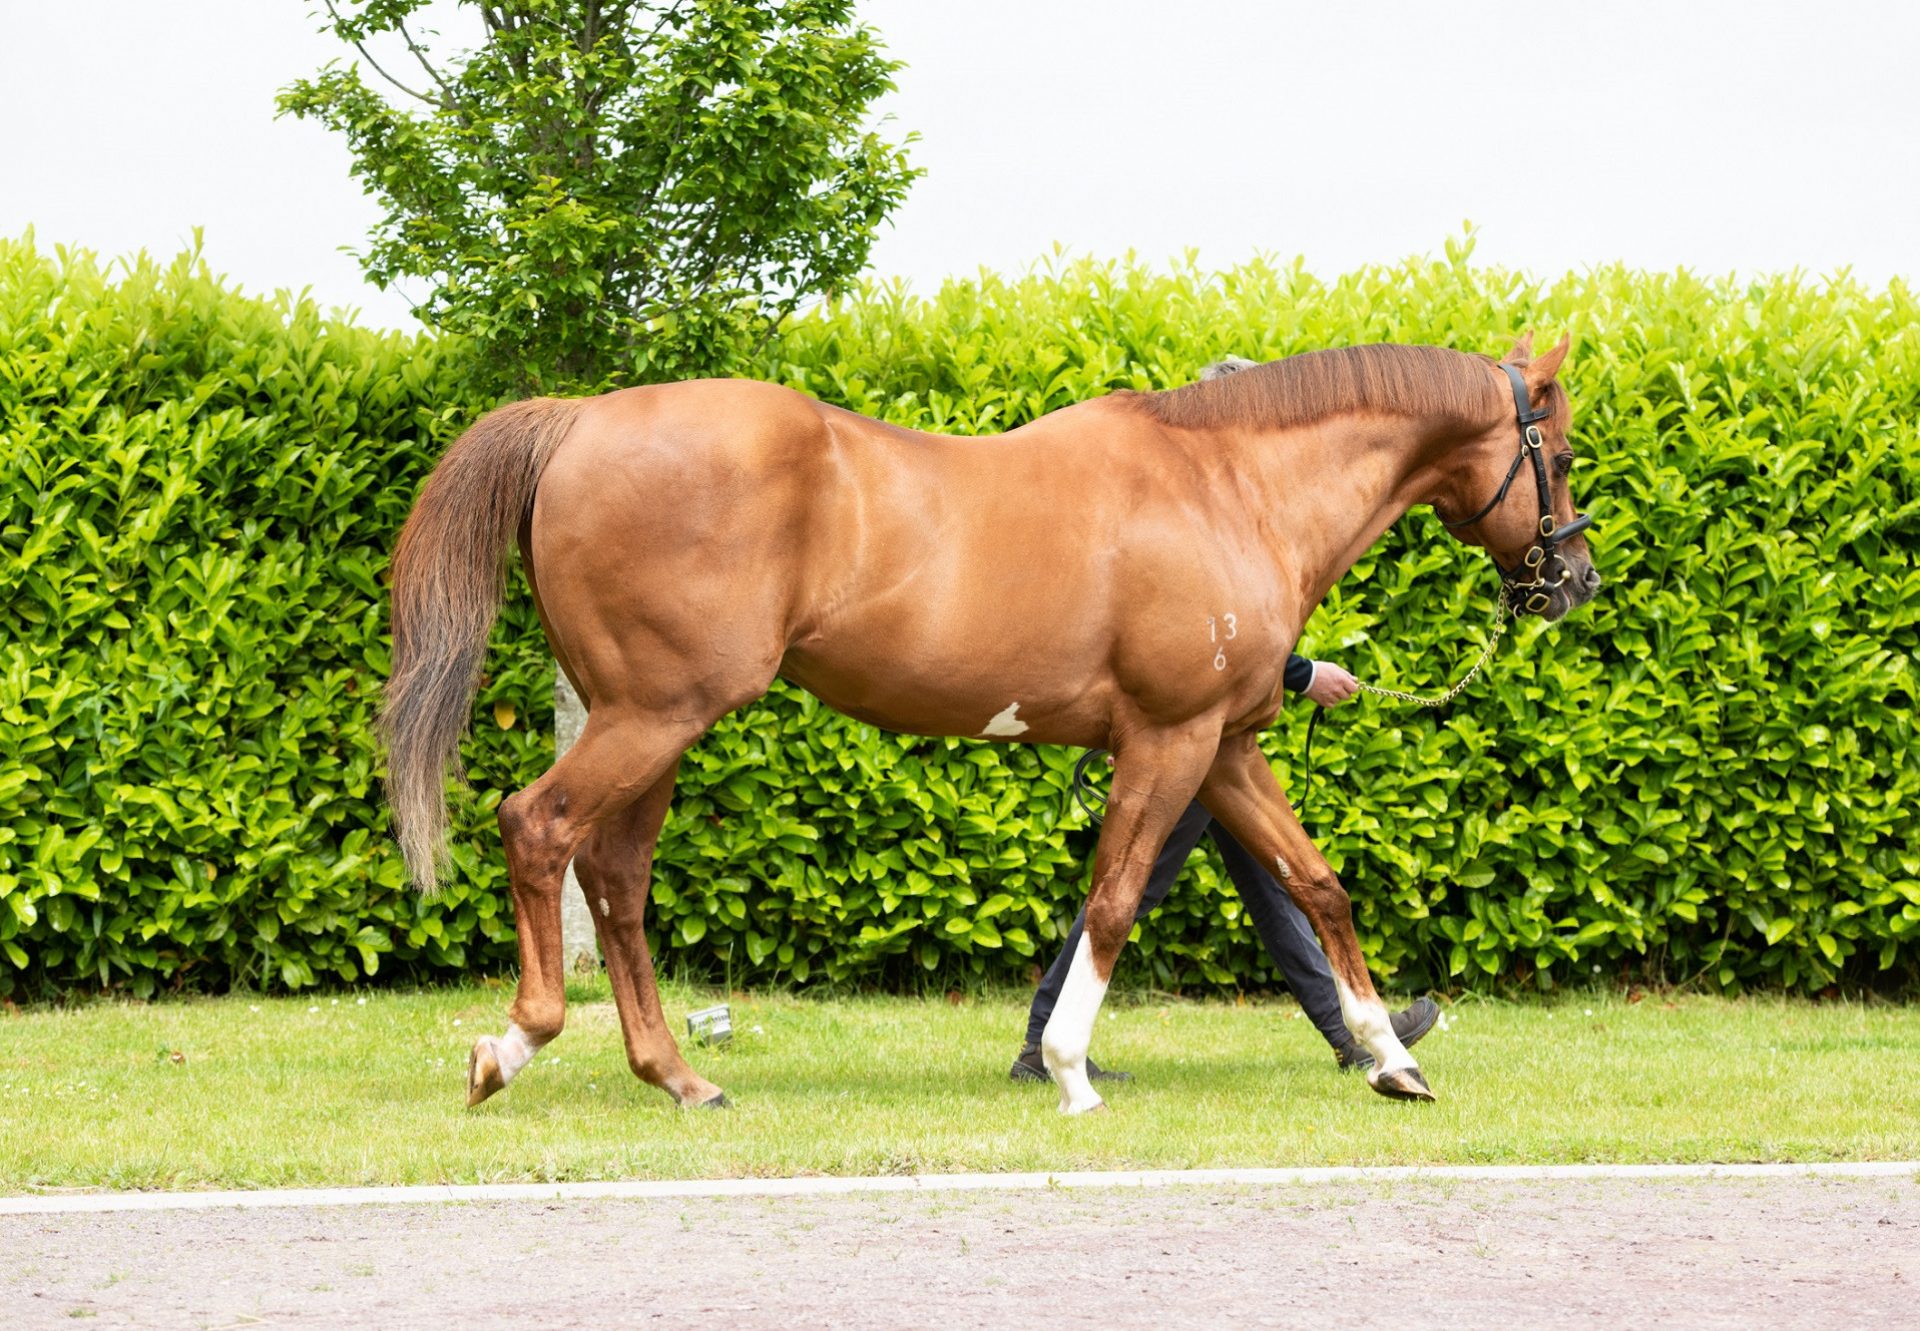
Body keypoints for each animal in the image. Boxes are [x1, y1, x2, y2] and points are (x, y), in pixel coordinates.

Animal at [382, 330, 1597, 1113]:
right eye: (1566, 450)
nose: (1573, 578)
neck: (1227, 484)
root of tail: (579, 420)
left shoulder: (1226, 744)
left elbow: (1315, 886)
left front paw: (1392, 1057)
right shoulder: (1168, 741)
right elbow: (1114, 899)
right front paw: (1066, 1068)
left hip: (654, 723)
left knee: (617, 877)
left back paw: (679, 1075)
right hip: (655, 712)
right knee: (541, 828)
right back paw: (511, 1045)